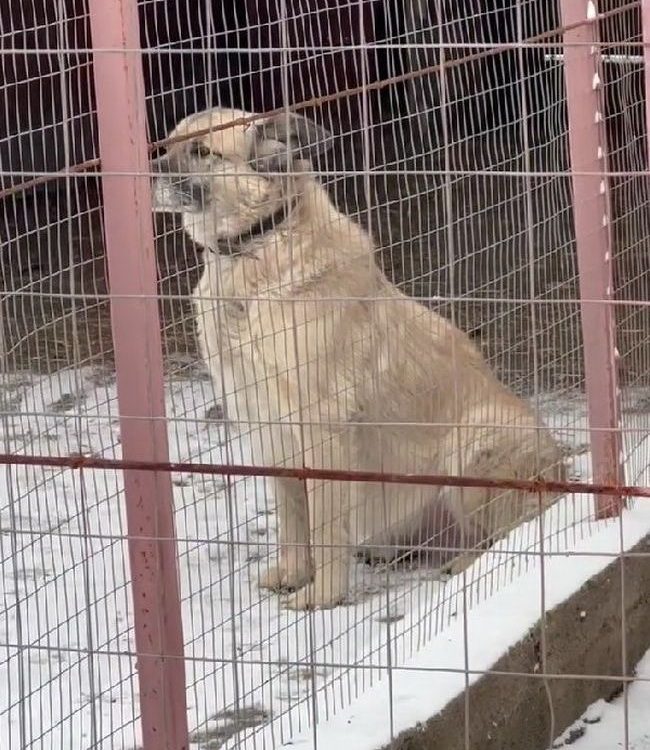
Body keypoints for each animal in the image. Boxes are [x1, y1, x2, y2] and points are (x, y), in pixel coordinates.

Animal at [151, 106, 566, 610]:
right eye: (168, 145)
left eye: (203, 151)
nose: (148, 170)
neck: (255, 252)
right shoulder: (267, 426)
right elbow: (292, 519)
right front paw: (294, 574)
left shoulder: (322, 426)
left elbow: (325, 525)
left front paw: (321, 595)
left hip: (471, 441)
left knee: (514, 533)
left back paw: (462, 565)